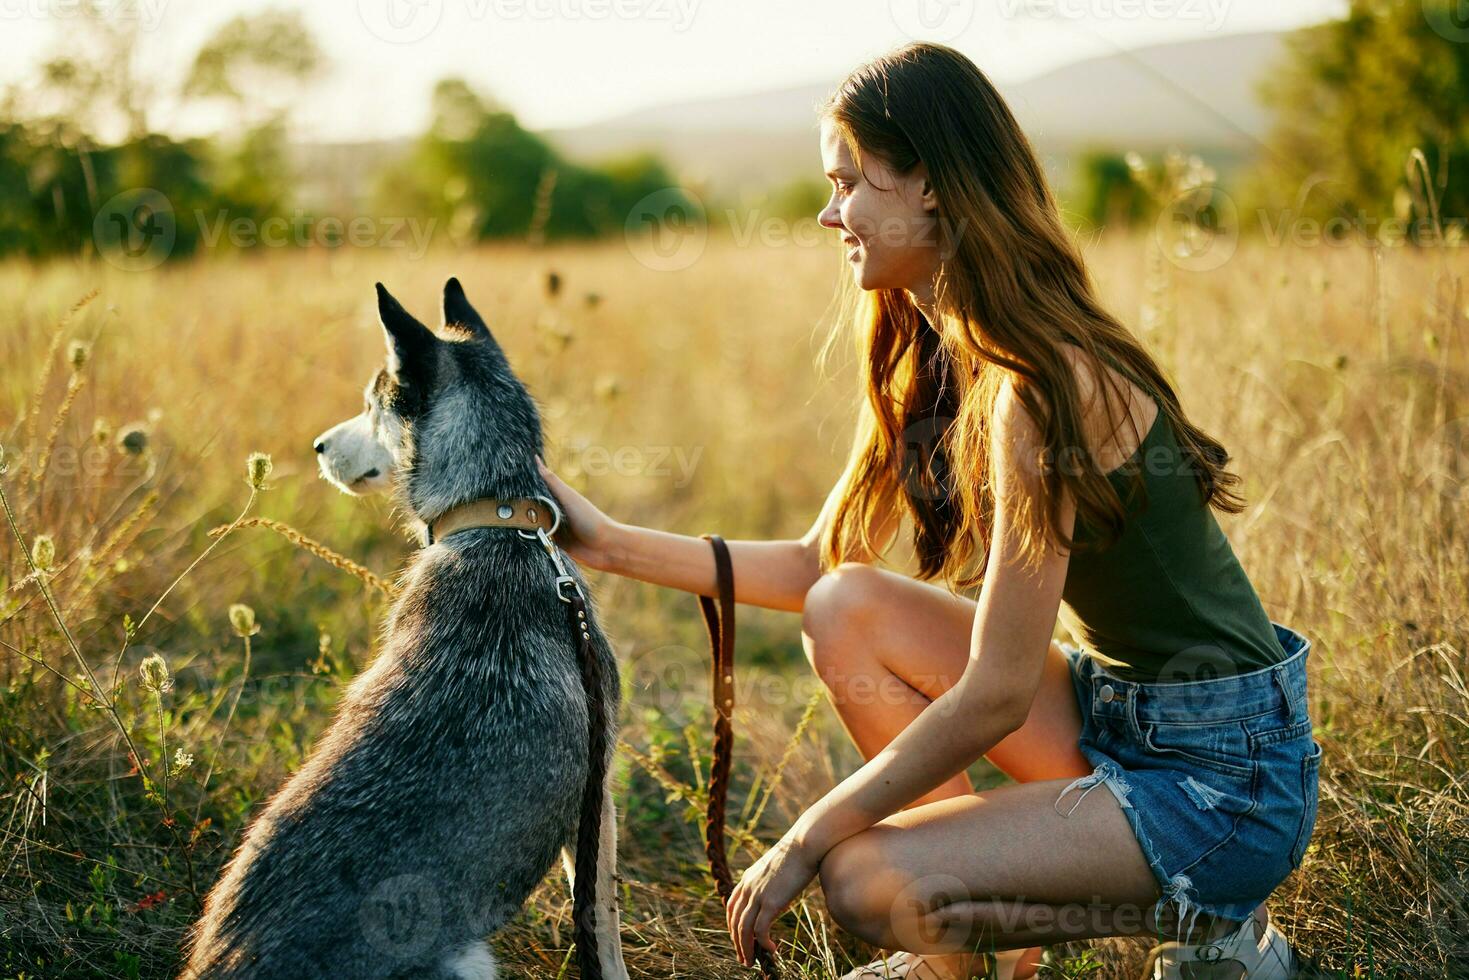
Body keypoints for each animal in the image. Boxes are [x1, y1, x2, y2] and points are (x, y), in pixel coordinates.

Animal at [179, 279, 625, 975]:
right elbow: (602, 924)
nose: (317, 447)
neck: (496, 516)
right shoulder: (596, 794)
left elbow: (601, 921)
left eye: (371, 405)